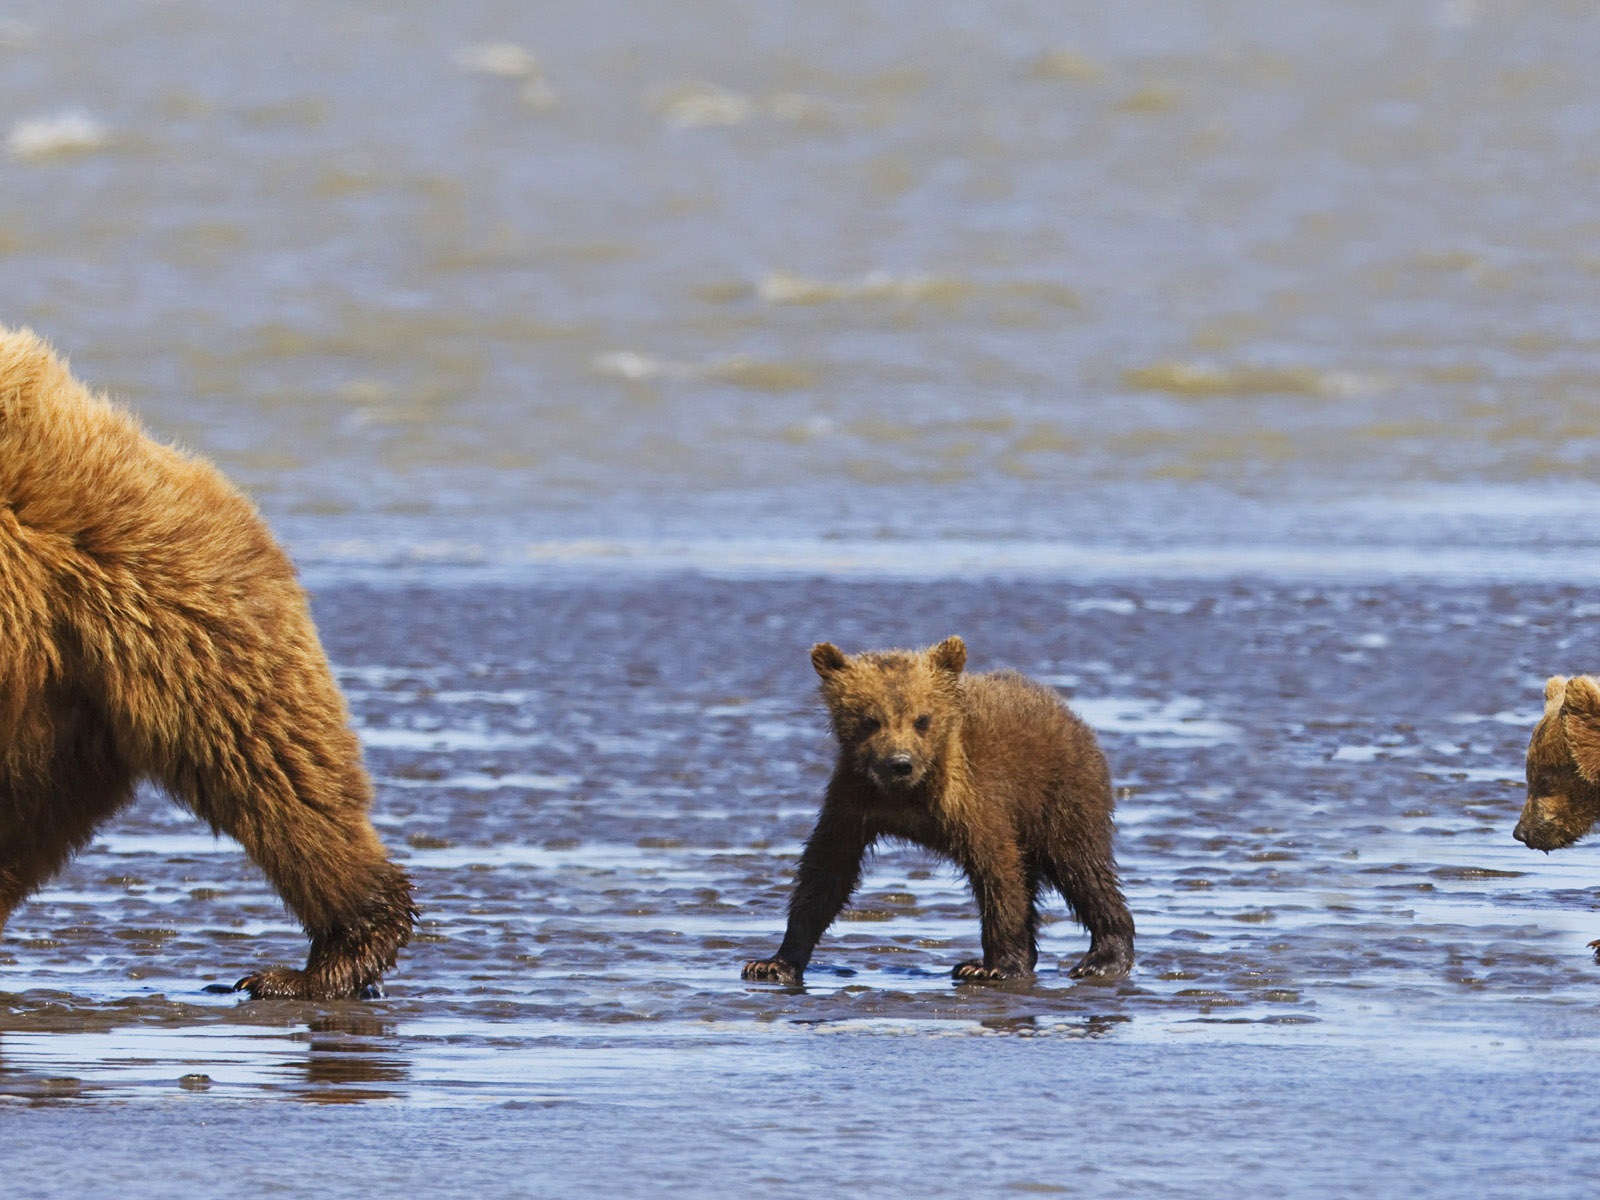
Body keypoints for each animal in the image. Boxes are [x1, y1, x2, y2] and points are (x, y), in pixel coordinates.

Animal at [742, 640, 1132, 985]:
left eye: (922, 719)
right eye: (871, 720)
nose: (900, 763)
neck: (909, 794)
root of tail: (1061, 708)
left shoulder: (970, 798)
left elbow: (997, 869)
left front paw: (994, 966)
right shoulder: (853, 800)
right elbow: (826, 872)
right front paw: (773, 963)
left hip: (1060, 791)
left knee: (1079, 865)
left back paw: (1103, 958)